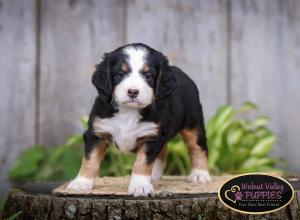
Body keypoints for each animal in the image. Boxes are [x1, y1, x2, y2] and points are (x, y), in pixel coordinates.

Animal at [67, 43, 211, 196]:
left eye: (148, 75)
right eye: (120, 74)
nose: (133, 92)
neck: (129, 112)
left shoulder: (151, 137)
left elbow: (142, 163)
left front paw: (139, 186)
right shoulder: (96, 133)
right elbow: (90, 160)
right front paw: (81, 183)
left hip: (193, 123)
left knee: (197, 147)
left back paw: (200, 175)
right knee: (164, 150)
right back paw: (154, 175)